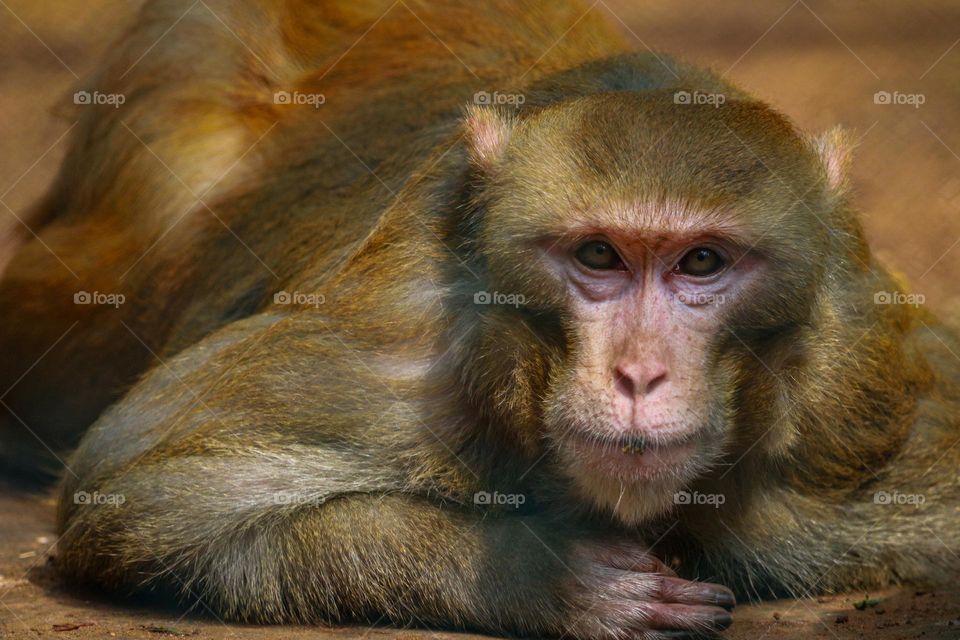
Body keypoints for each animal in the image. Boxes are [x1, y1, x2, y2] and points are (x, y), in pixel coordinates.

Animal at [1, 0, 958, 638]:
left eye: (701, 263)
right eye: (598, 257)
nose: (638, 375)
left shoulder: (855, 398)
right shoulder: (411, 350)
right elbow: (148, 490)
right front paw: (550, 580)